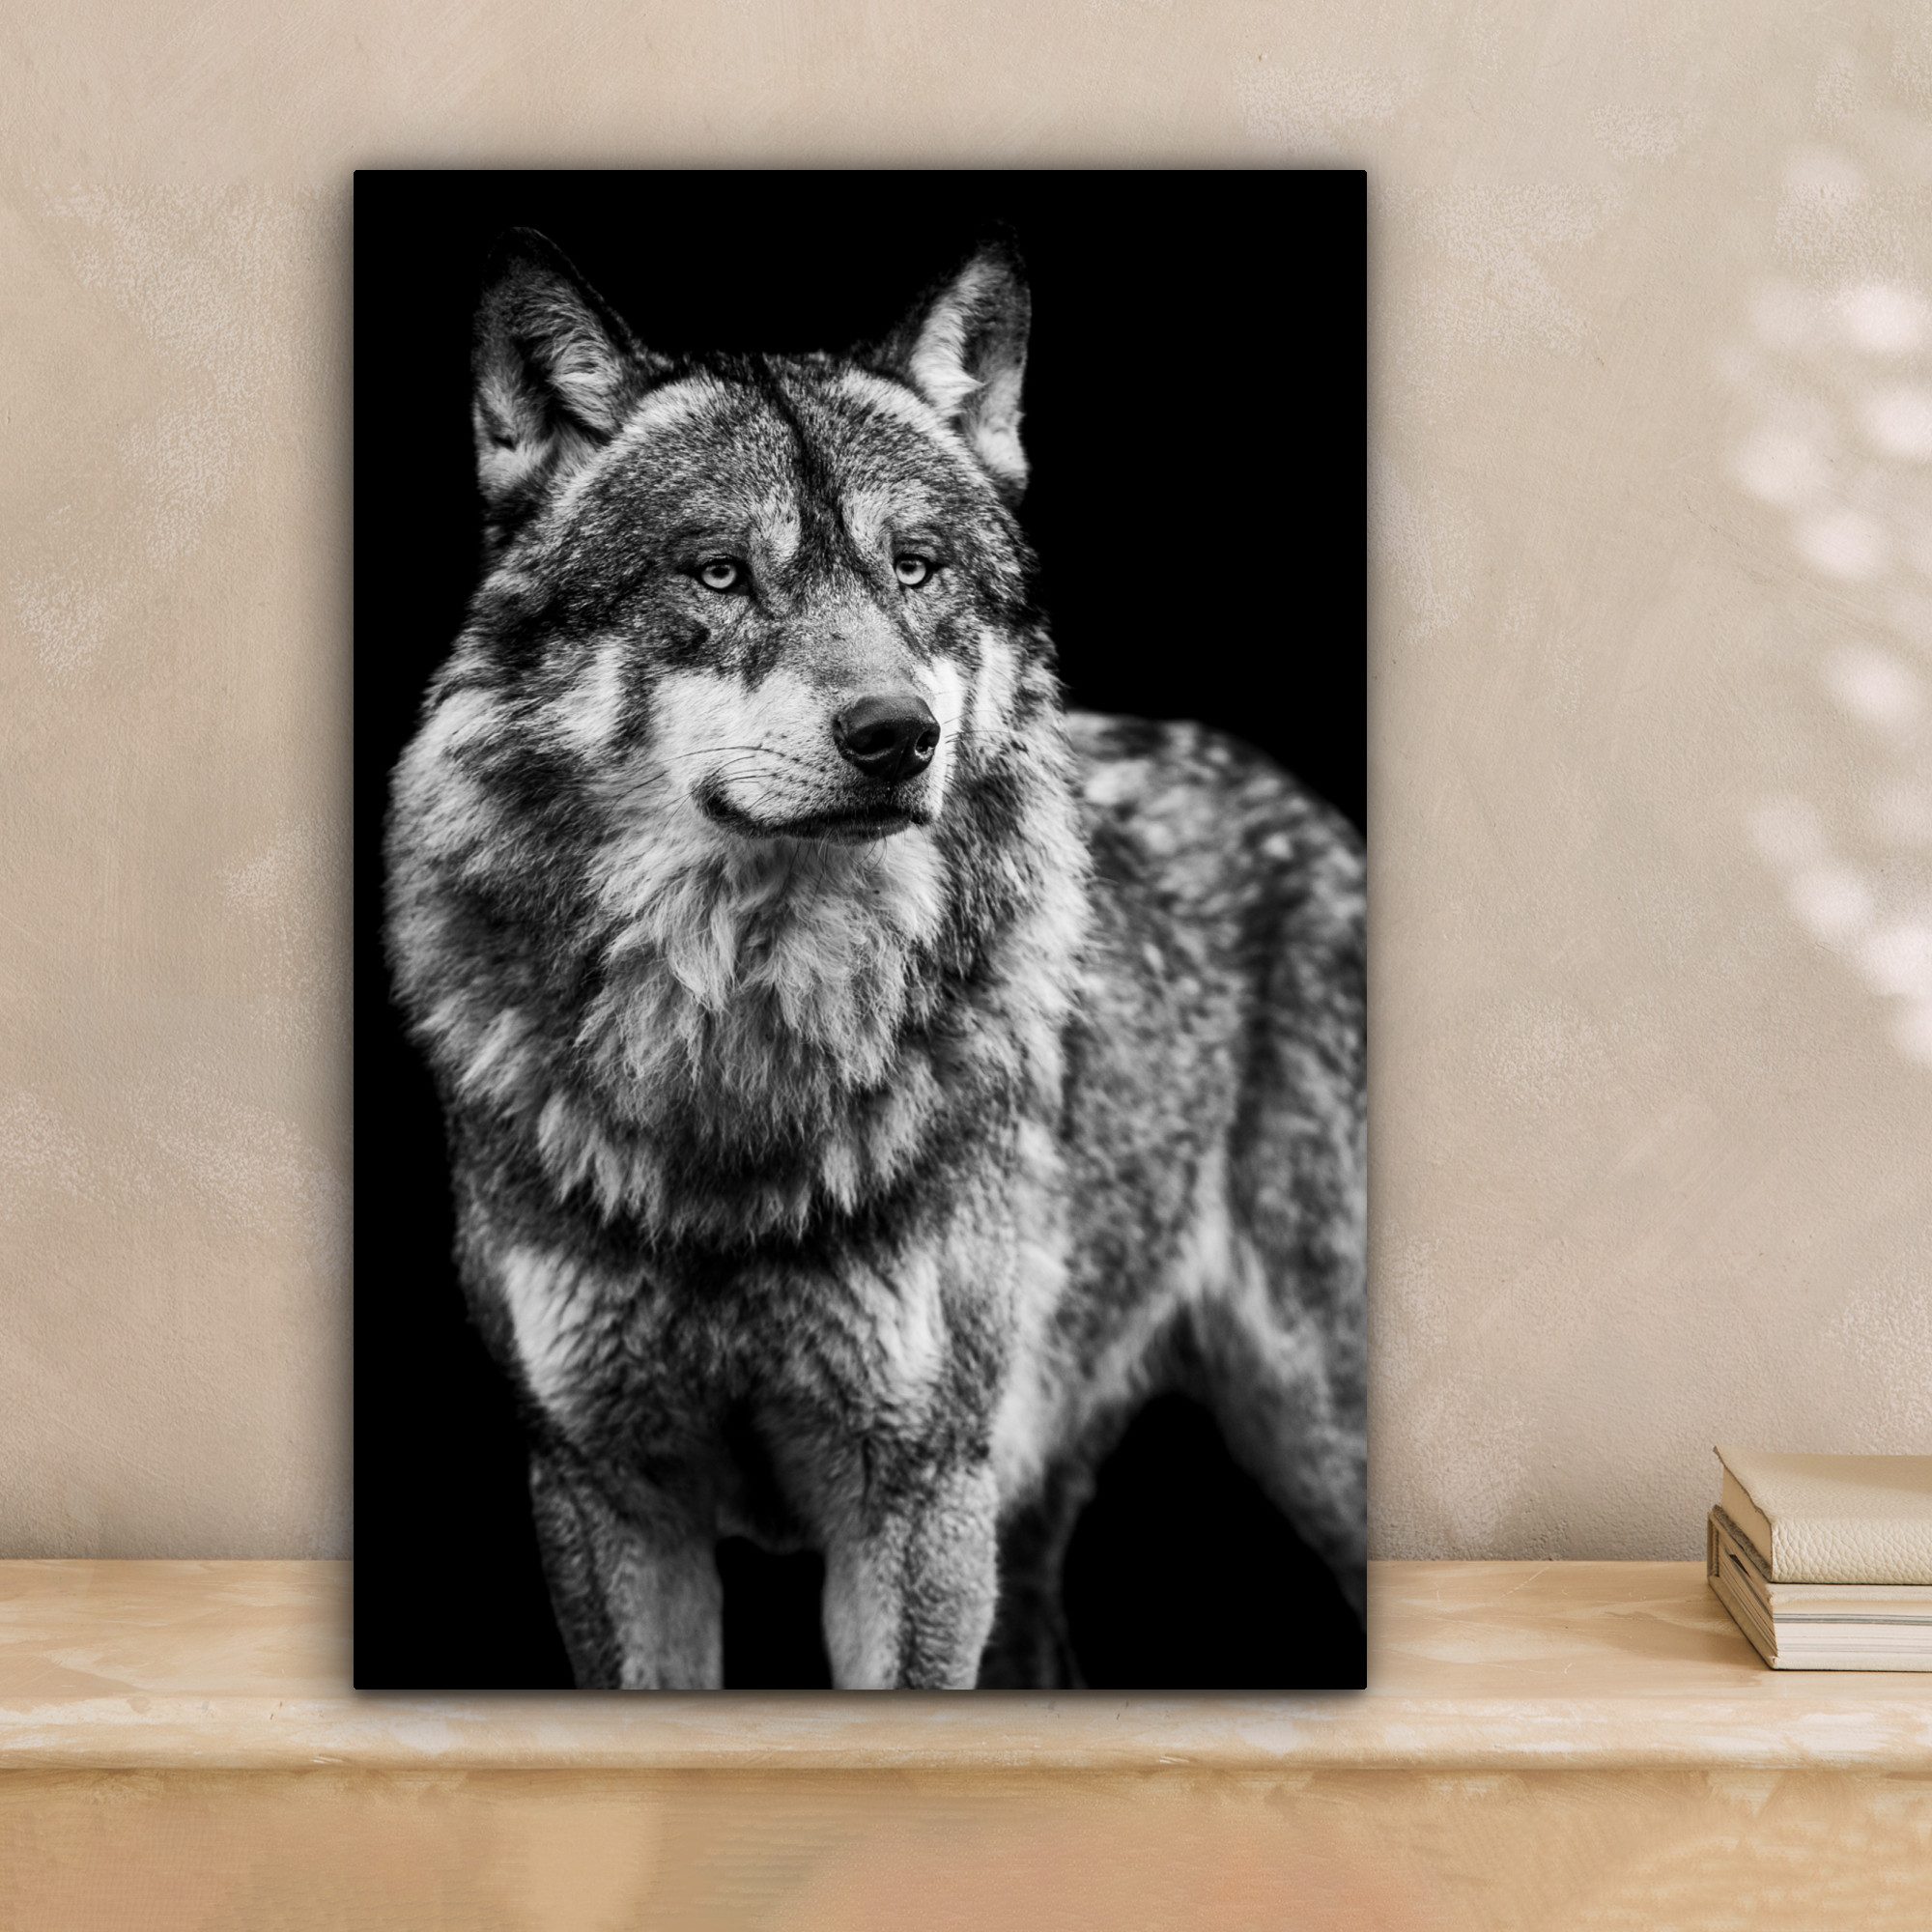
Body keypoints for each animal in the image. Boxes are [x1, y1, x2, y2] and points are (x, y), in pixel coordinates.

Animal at [385, 226, 1366, 1690]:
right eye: (720, 573)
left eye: (914, 567)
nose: (898, 735)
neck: (742, 1056)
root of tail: (1303, 806)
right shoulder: (602, 1494)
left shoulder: (913, 1501)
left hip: (1302, 1443)